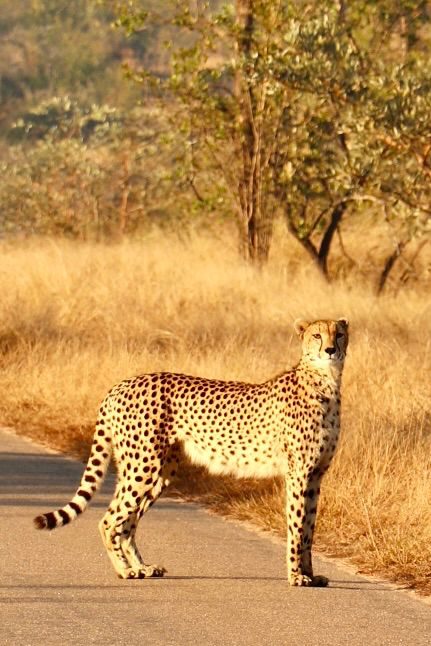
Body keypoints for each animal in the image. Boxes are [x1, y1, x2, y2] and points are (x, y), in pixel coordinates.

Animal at [34, 317, 349, 587]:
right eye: (317, 335)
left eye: (339, 334)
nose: (331, 350)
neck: (325, 381)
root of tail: (122, 384)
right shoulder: (298, 473)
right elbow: (296, 527)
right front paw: (296, 576)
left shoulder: (316, 476)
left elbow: (309, 528)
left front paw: (312, 575)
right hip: (143, 466)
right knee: (110, 518)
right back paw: (124, 570)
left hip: (157, 471)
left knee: (127, 521)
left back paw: (141, 567)